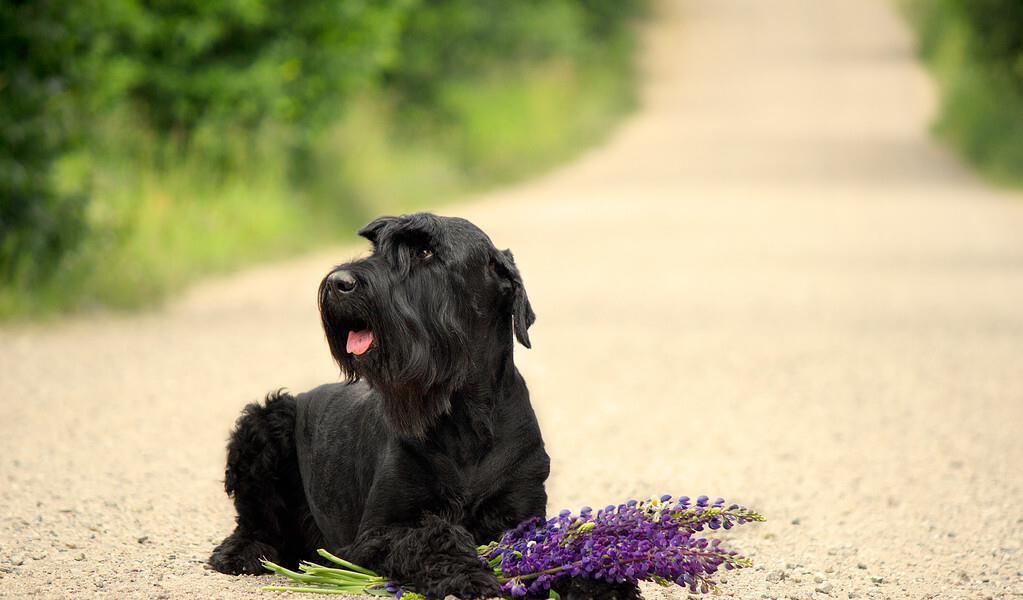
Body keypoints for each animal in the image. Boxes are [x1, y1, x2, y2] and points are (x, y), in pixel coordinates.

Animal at [208, 213, 638, 596]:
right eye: (375, 246)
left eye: (426, 251)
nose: (337, 282)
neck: (464, 415)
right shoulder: (376, 532)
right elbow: (433, 536)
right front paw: (470, 573)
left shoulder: (521, 514)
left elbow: (551, 547)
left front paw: (598, 579)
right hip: (267, 422)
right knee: (255, 523)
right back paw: (243, 554)